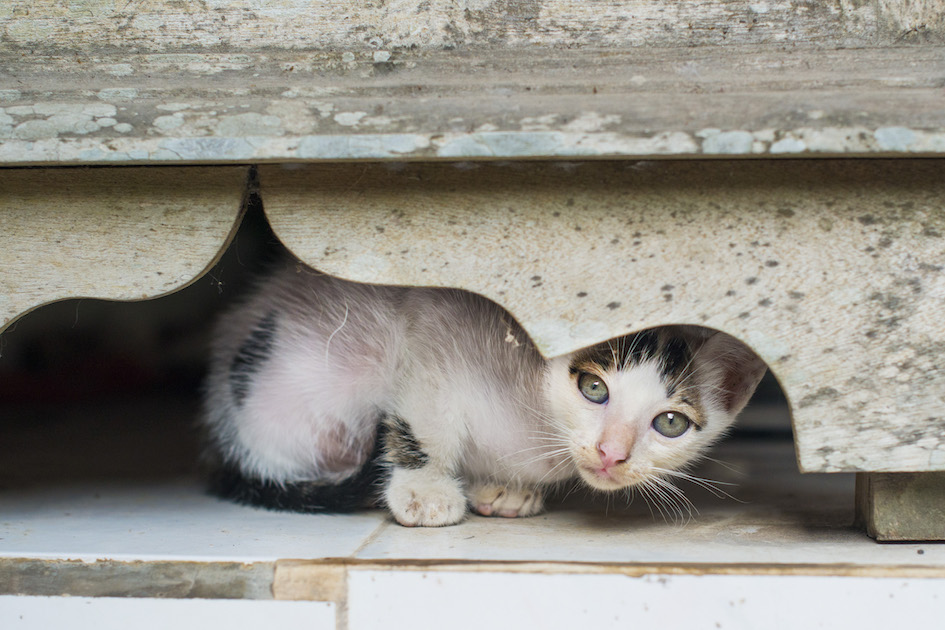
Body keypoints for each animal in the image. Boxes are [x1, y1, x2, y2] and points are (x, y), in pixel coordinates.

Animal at [201, 260, 768, 528]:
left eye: (670, 423)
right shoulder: (435, 326)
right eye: (593, 388)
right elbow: (426, 424)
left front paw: (503, 488)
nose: (612, 453)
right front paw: (425, 491)